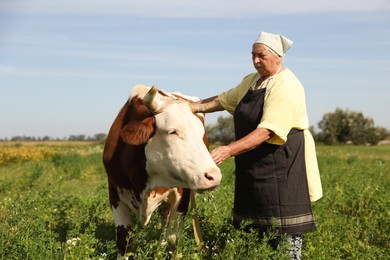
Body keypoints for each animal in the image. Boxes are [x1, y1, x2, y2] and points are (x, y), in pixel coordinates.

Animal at [102, 85, 221, 256]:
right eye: (172, 131)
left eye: (201, 134)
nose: (214, 176)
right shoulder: (114, 193)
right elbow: (123, 241)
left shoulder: (182, 196)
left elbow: (173, 238)